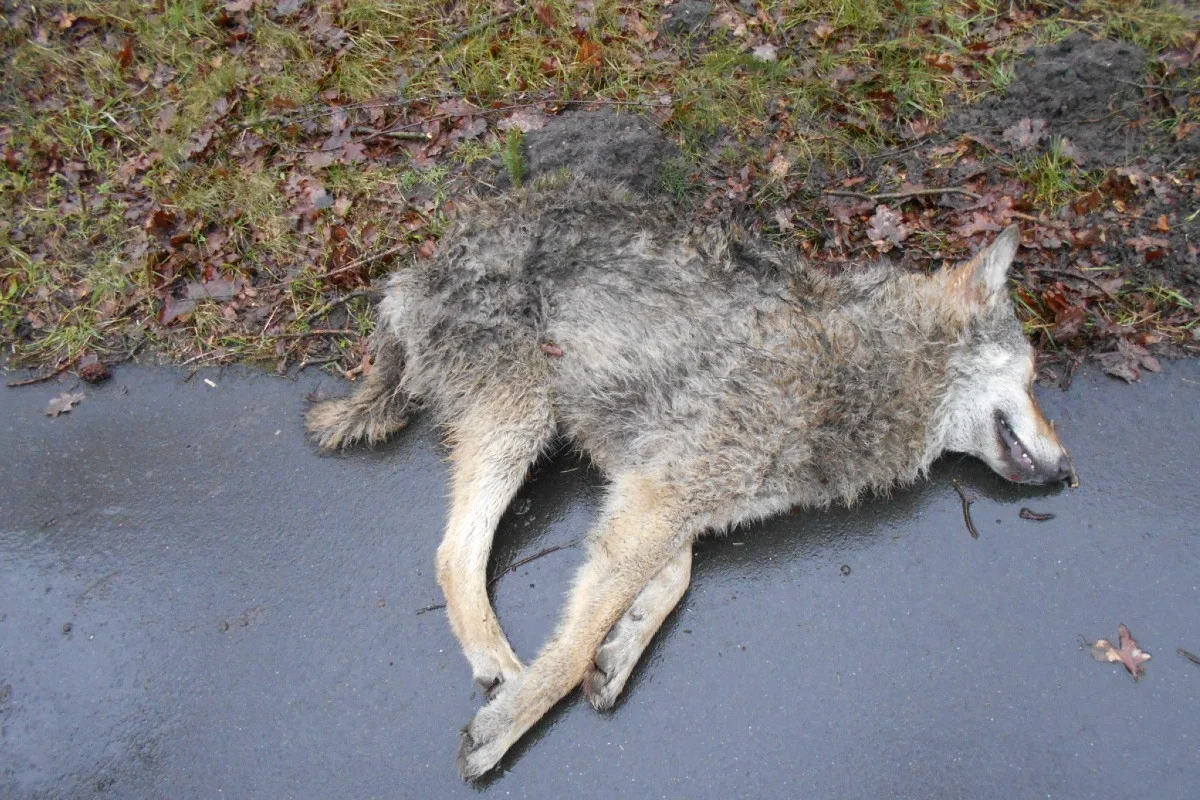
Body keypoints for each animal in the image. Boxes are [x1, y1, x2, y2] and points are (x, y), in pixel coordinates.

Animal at [306, 177, 1073, 780]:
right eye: (1036, 379)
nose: (1070, 470)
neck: (878, 358)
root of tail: (414, 275)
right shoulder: (666, 489)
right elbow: (579, 637)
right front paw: (511, 721)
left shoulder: (650, 477)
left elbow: (672, 579)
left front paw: (621, 649)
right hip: (523, 418)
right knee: (452, 554)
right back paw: (500, 666)